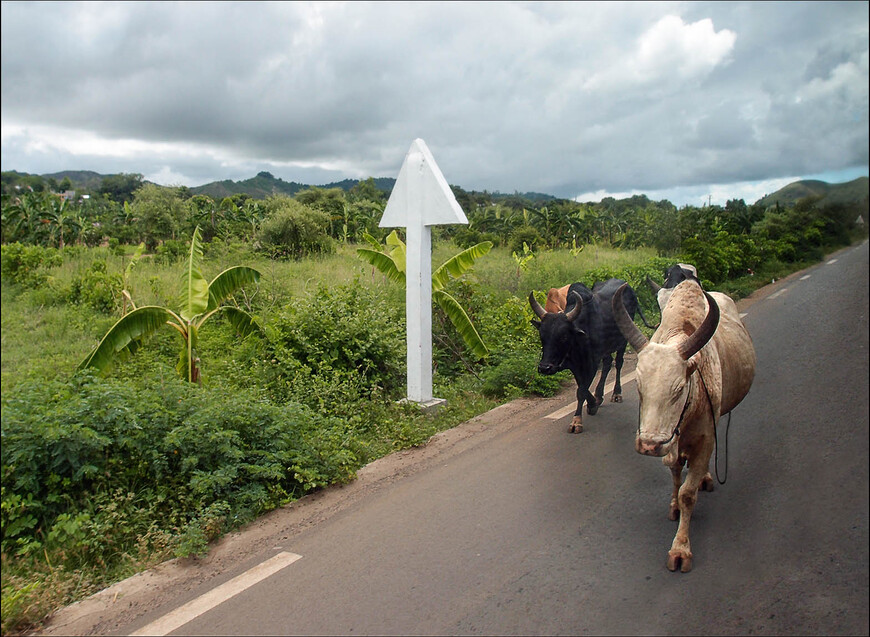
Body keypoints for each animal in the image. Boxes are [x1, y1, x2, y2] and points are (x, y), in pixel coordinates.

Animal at [532, 278, 656, 432]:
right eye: (542, 336)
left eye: (563, 336)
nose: (544, 368)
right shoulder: (574, 365)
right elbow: (582, 386)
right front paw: (593, 403)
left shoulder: (592, 362)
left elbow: (581, 390)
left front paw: (577, 421)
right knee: (608, 363)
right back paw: (599, 394)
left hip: (623, 340)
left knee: (618, 363)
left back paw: (616, 393)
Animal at [612, 278, 756, 572]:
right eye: (639, 387)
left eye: (679, 389)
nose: (649, 445)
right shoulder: (671, 442)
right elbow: (676, 473)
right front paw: (674, 506)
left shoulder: (705, 437)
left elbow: (688, 493)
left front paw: (680, 549)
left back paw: (706, 478)